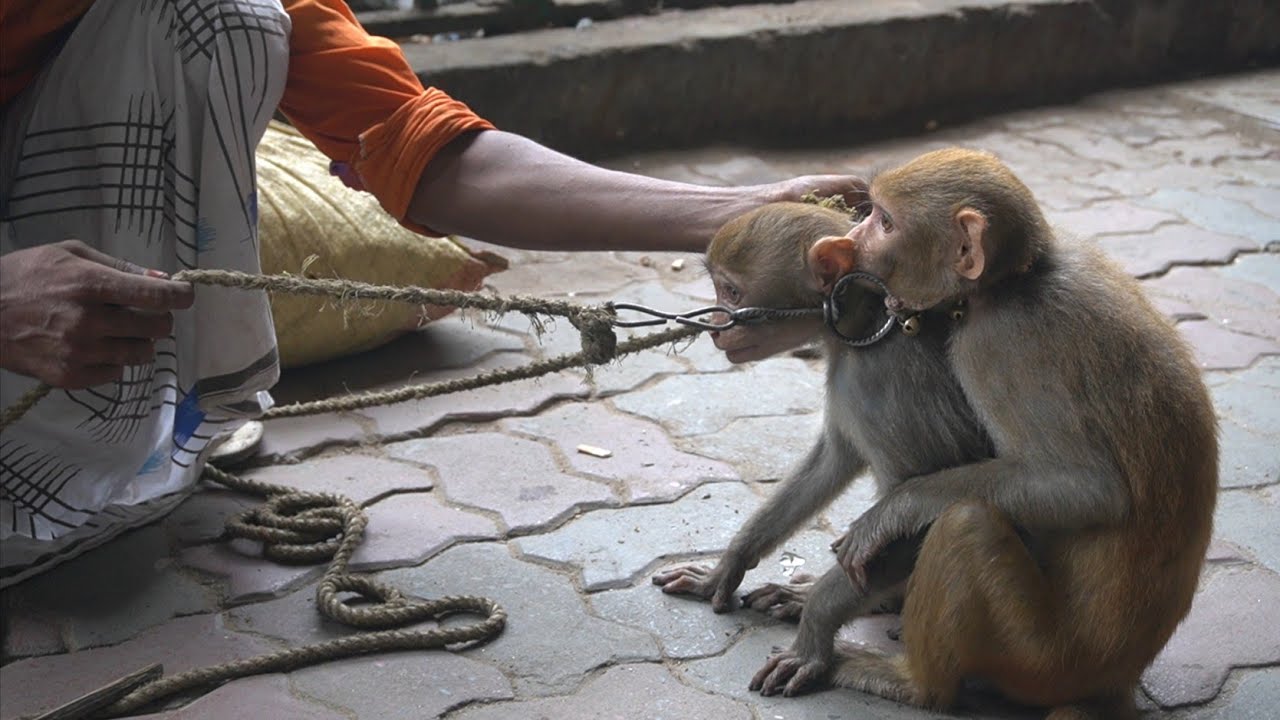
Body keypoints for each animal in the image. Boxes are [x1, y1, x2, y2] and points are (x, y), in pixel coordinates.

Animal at [652, 201, 993, 628]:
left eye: (731, 291)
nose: (714, 328)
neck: (865, 324)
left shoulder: (881, 382)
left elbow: (922, 508)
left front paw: (808, 601)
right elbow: (833, 459)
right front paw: (728, 566)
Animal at [748, 148, 1218, 720]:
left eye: (885, 223)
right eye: (871, 214)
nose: (853, 237)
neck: (1013, 282)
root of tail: (1116, 682)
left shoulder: (997, 342)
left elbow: (1088, 489)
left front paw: (893, 512)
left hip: (1040, 661)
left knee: (966, 523)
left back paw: (911, 683)